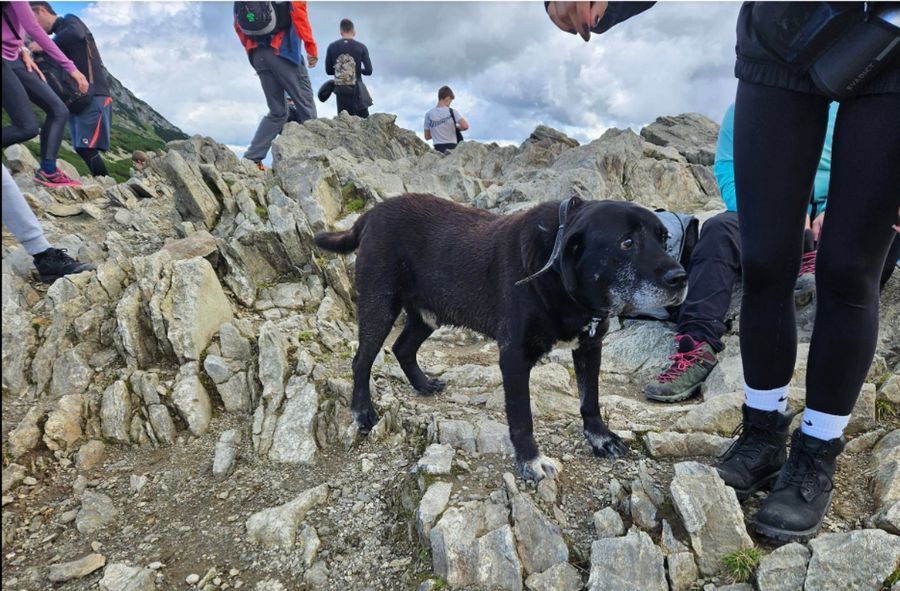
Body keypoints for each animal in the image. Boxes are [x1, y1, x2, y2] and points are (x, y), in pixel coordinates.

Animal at [312, 194, 684, 480]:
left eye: (664, 239)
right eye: (627, 242)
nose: (680, 278)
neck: (555, 272)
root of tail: (371, 214)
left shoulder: (590, 346)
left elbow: (589, 401)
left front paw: (600, 439)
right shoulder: (514, 357)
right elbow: (522, 418)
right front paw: (531, 461)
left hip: (428, 315)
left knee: (403, 348)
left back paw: (423, 384)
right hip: (380, 306)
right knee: (362, 360)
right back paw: (362, 411)